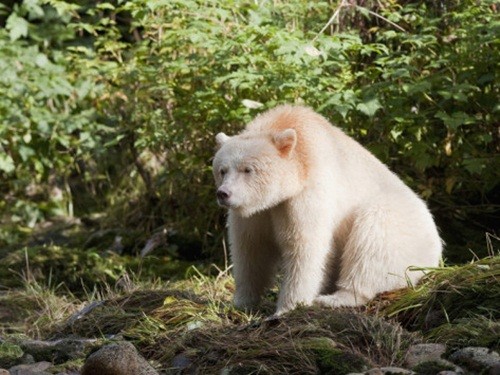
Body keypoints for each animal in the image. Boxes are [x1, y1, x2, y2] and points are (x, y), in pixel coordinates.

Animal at [211, 104, 442, 316]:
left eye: (248, 169)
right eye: (222, 170)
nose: (223, 193)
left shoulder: (307, 193)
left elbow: (305, 246)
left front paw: (287, 308)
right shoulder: (257, 213)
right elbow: (251, 247)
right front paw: (241, 301)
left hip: (398, 227)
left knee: (372, 240)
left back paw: (334, 298)